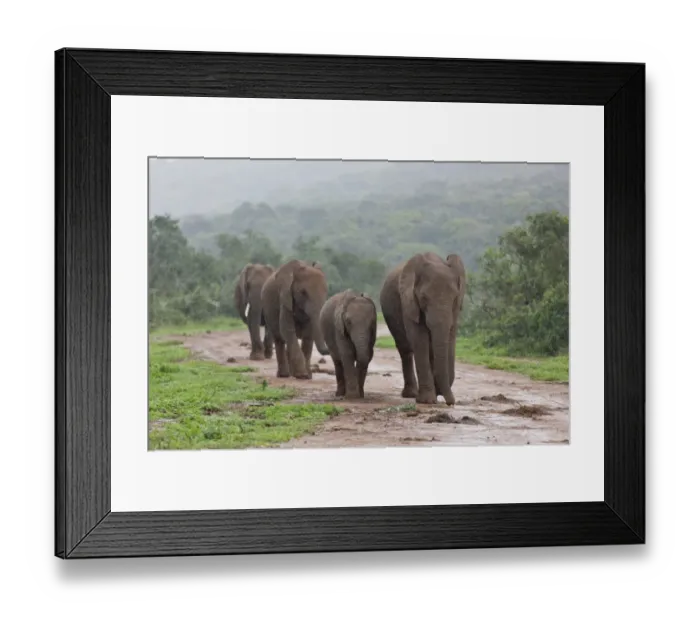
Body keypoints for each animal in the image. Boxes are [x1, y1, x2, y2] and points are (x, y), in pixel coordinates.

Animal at [379, 252, 466, 406]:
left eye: (454, 297)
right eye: (424, 298)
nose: (451, 403)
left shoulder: (455, 309)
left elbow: (450, 339)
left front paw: (436, 394)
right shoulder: (409, 302)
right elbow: (420, 340)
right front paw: (427, 401)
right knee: (405, 350)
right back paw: (411, 394)